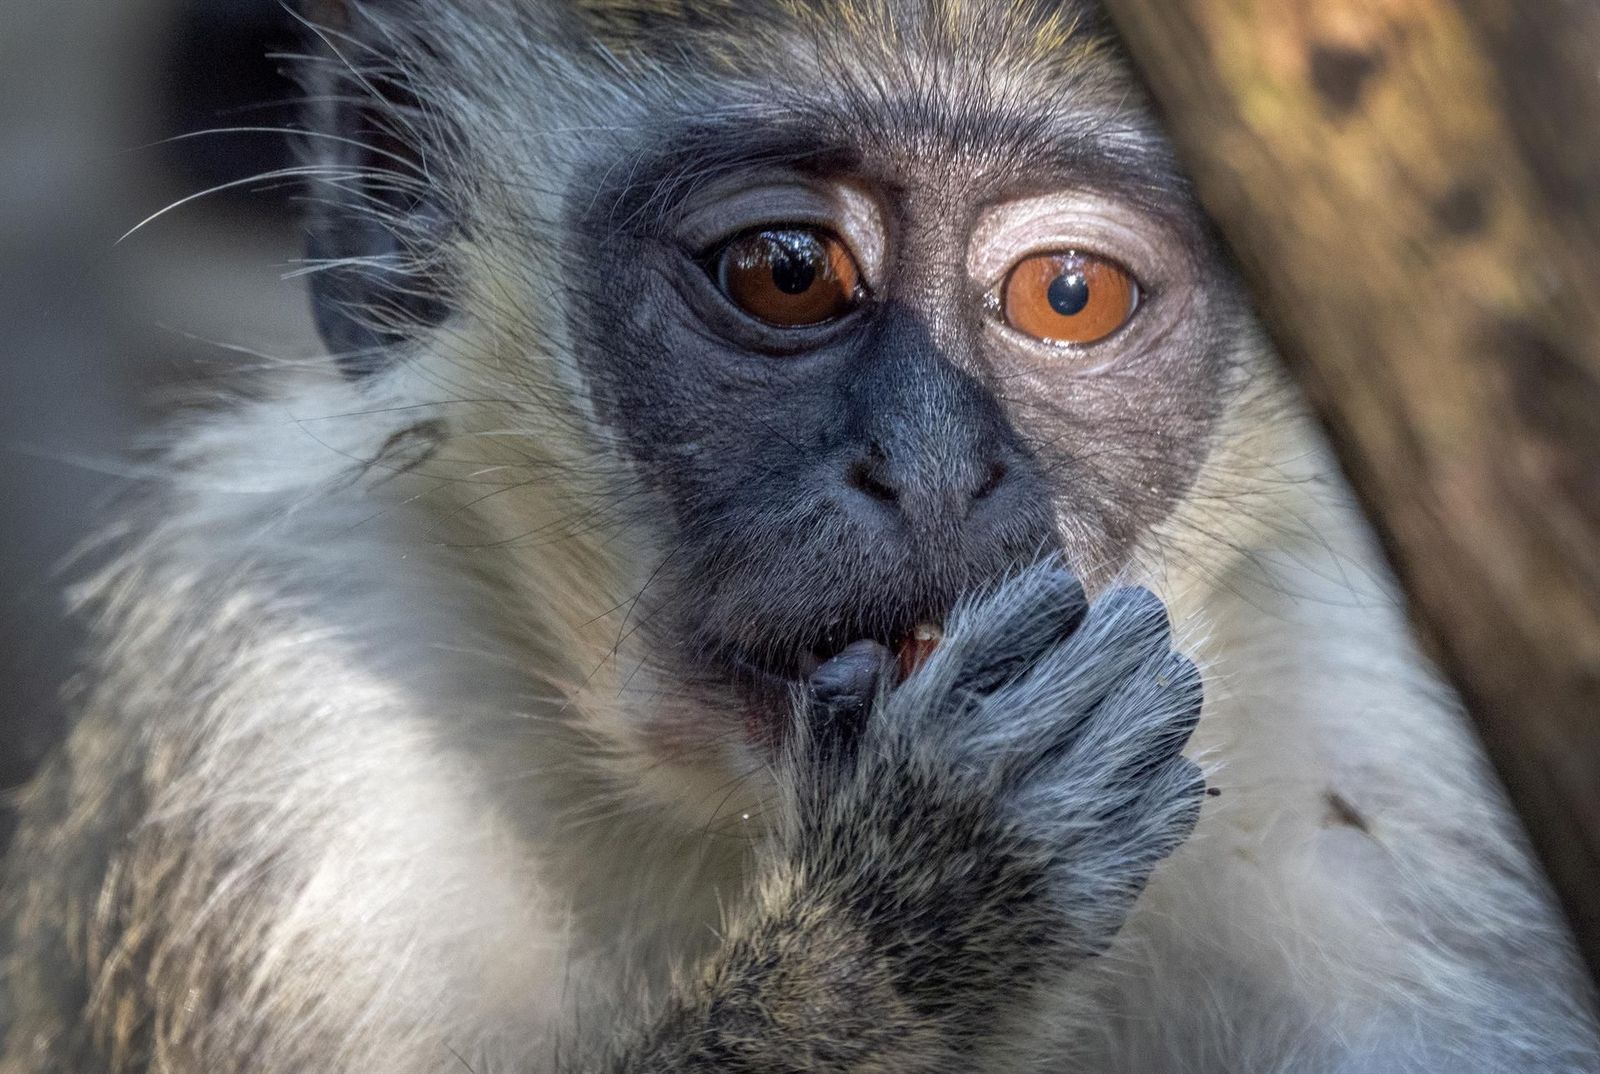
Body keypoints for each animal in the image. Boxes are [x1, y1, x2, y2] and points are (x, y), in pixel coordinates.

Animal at [3, 0, 1599, 1071]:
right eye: (786, 271)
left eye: (1067, 293)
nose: (938, 472)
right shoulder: (274, 753)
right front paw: (910, 921)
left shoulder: (1402, 799)